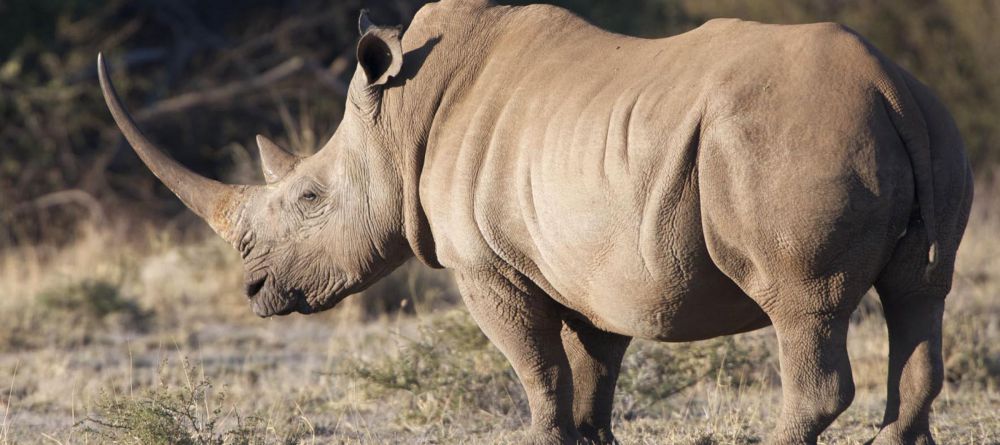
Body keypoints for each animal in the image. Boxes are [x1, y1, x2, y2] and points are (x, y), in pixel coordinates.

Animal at [95, 0, 976, 444]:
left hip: (787, 141)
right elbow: (593, 372)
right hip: (934, 126)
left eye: (309, 200)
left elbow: (540, 371)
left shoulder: (487, 266)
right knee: (921, 297)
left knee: (805, 308)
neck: (396, 122)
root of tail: (887, 87)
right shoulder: (595, 262)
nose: (252, 290)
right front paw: (591, 439)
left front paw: (544, 437)